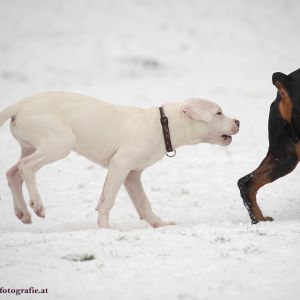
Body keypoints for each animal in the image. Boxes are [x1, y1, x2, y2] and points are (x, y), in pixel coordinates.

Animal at [0, 91, 239, 227]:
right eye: (218, 113)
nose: (238, 122)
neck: (163, 125)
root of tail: (21, 105)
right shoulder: (120, 165)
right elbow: (107, 200)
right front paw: (105, 229)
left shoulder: (132, 175)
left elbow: (143, 203)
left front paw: (160, 224)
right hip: (59, 143)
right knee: (26, 167)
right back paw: (37, 205)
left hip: (30, 146)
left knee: (13, 173)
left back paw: (22, 213)